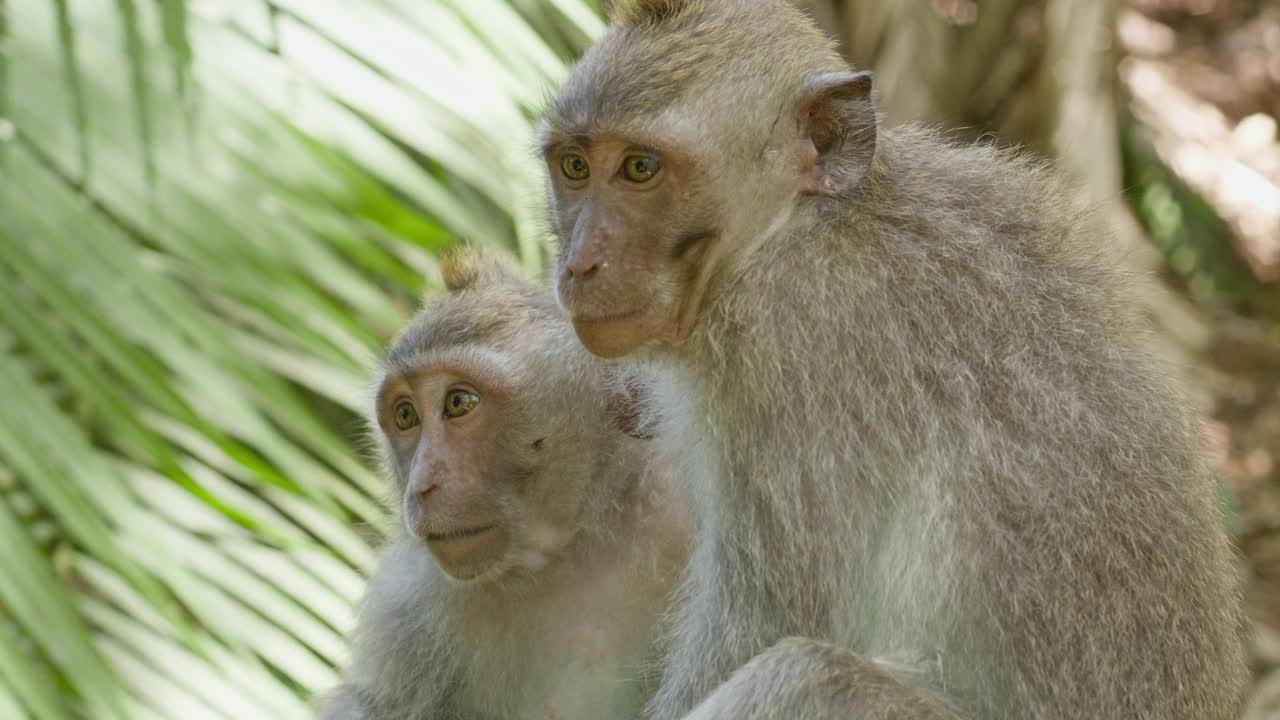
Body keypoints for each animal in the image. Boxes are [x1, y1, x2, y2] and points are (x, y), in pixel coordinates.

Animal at [537, 1, 1249, 717]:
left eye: (640, 169)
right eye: (575, 167)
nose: (578, 264)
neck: (800, 228)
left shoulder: (793, 364)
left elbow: (758, 630)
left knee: (805, 674)